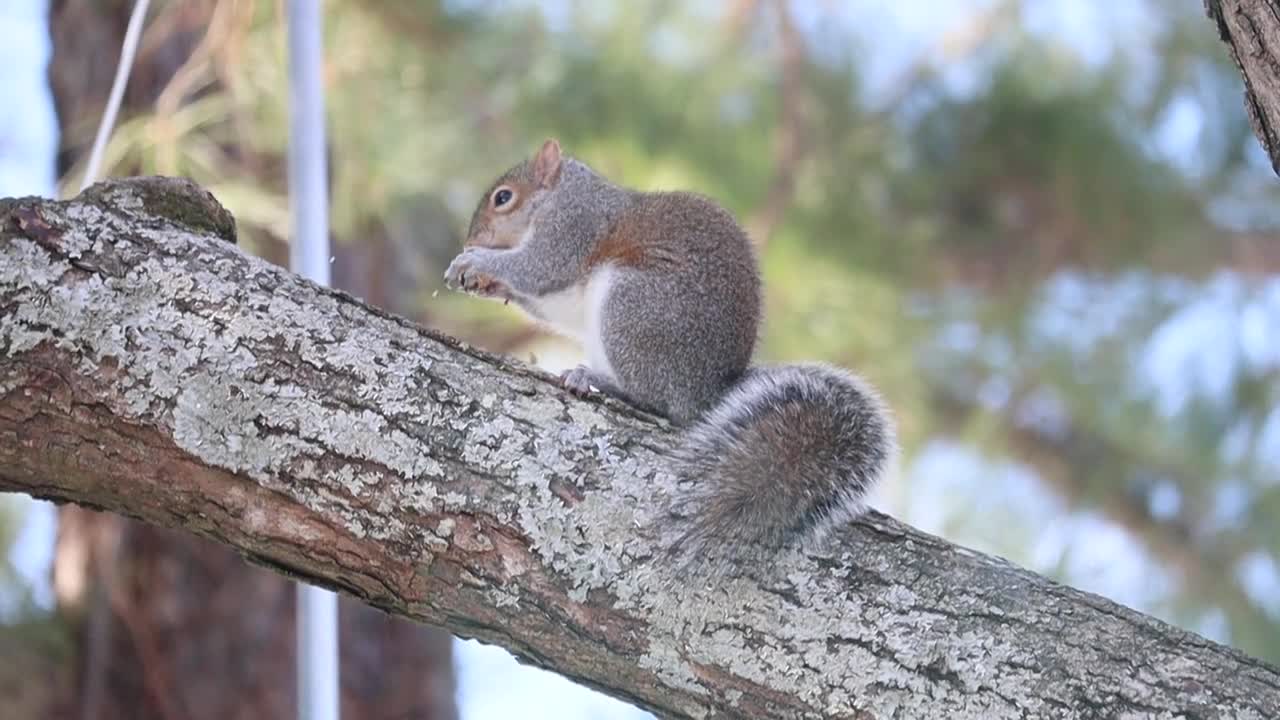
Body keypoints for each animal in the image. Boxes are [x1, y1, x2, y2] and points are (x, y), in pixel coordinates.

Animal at [445, 139, 896, 566]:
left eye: (503, 197)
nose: (470, 239)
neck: (560, 193)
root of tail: (707, 391)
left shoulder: (572, 227)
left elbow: (539, 268)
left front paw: (475, 261)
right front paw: (486, 282)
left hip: (631, 308)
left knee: (656, 401)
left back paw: (595, 380)